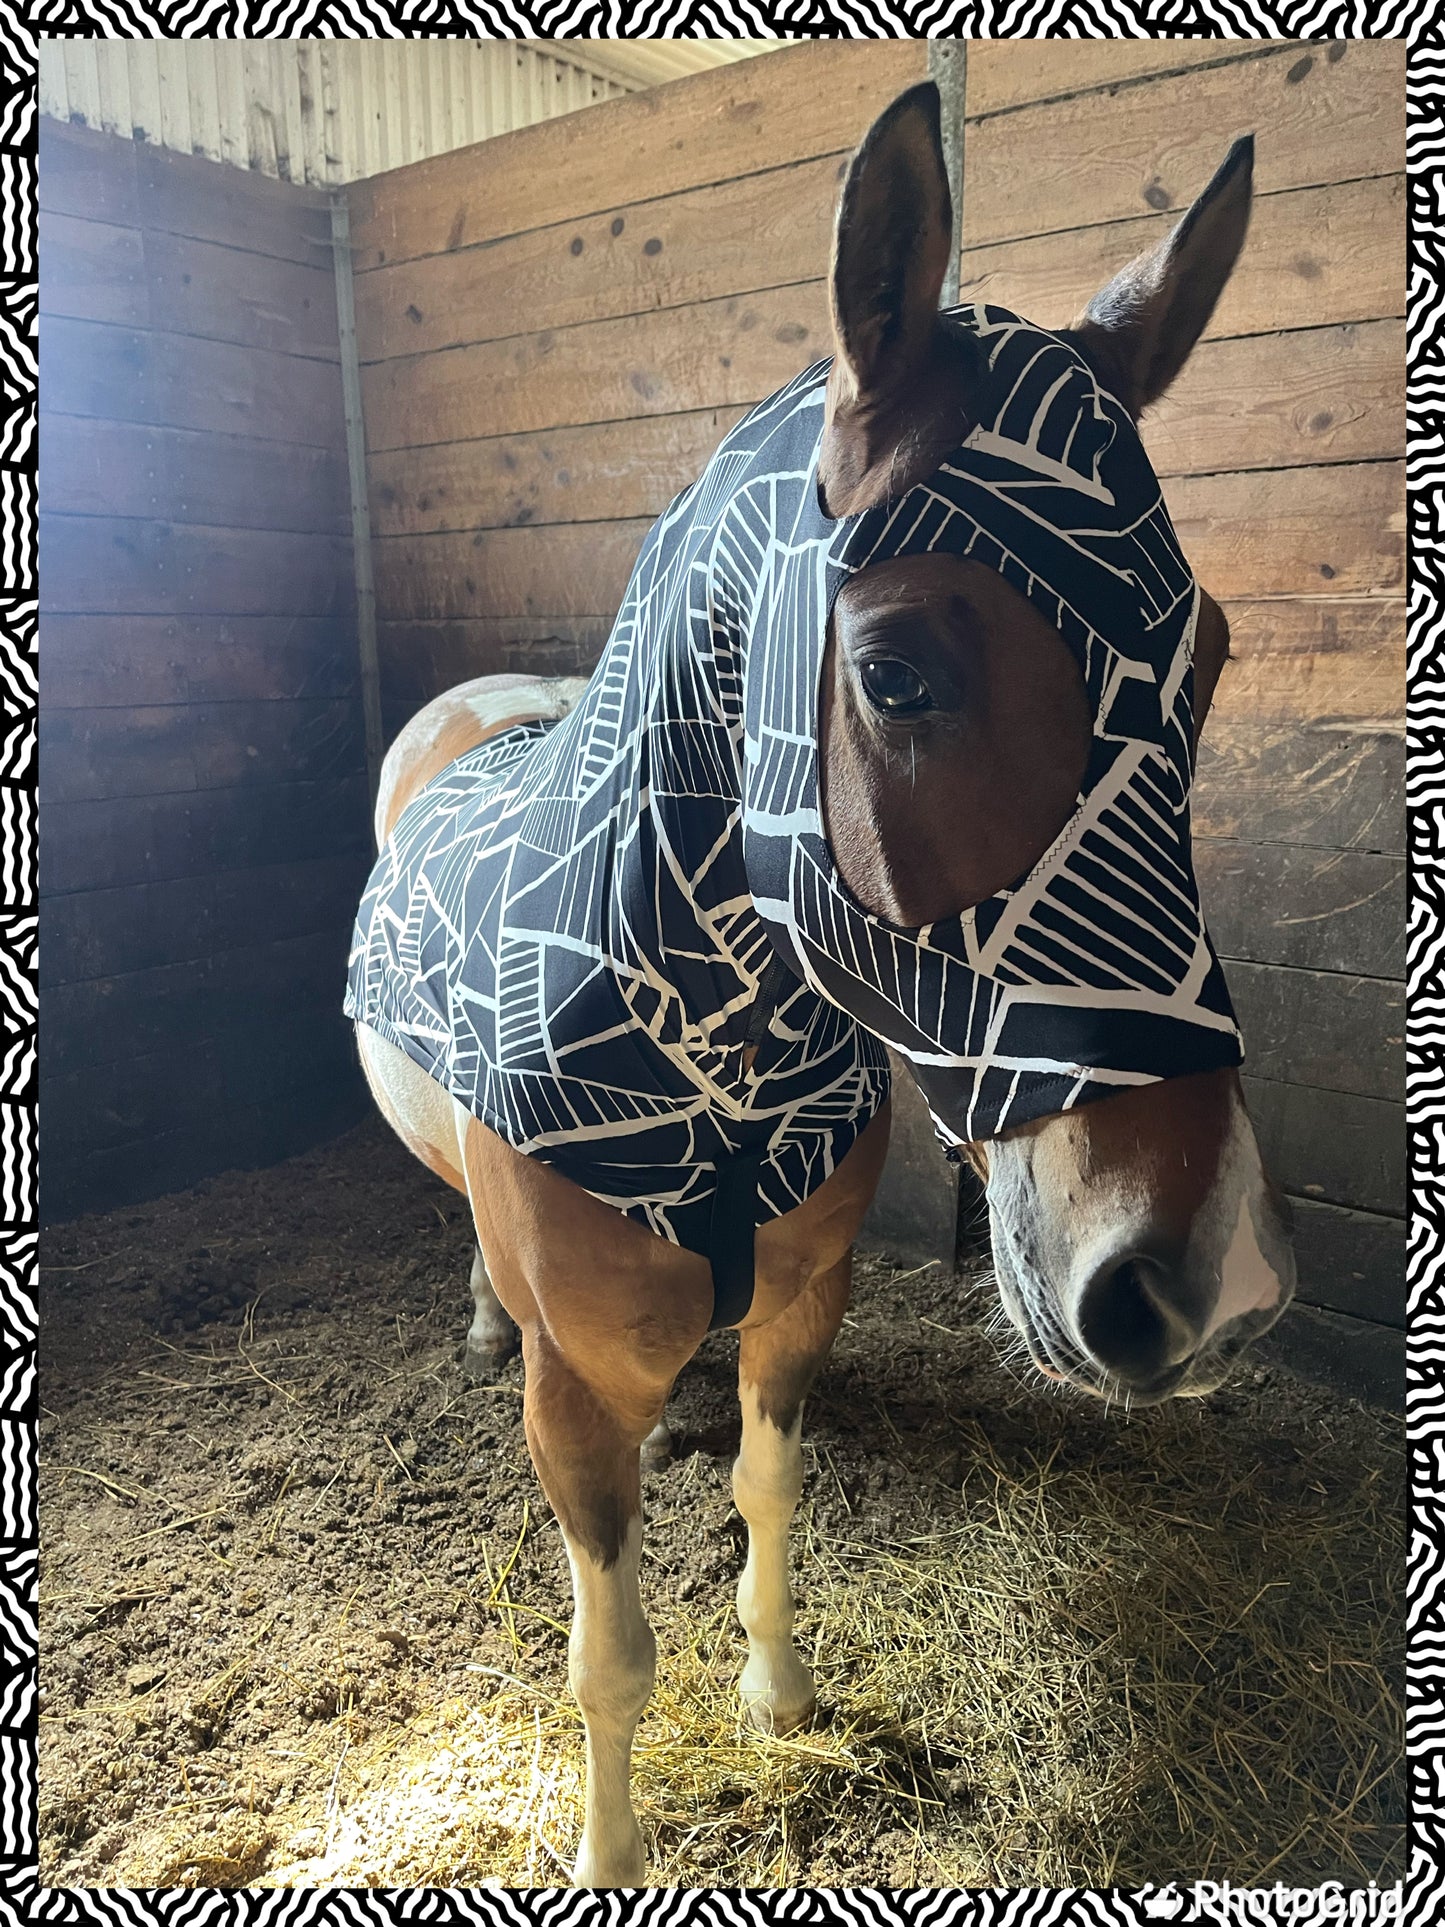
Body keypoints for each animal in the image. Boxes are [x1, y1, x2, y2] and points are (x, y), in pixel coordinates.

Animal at [346, 82, 1295, 1886]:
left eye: (1204, 663)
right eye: (898, 672)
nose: (1204, 1278)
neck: (710, 1052)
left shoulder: (803, 1301)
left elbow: (769, 1499)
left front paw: (780, 1694)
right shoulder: (578, 1400)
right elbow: (610, 1648)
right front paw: (610, 1852)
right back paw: (483, 1318)